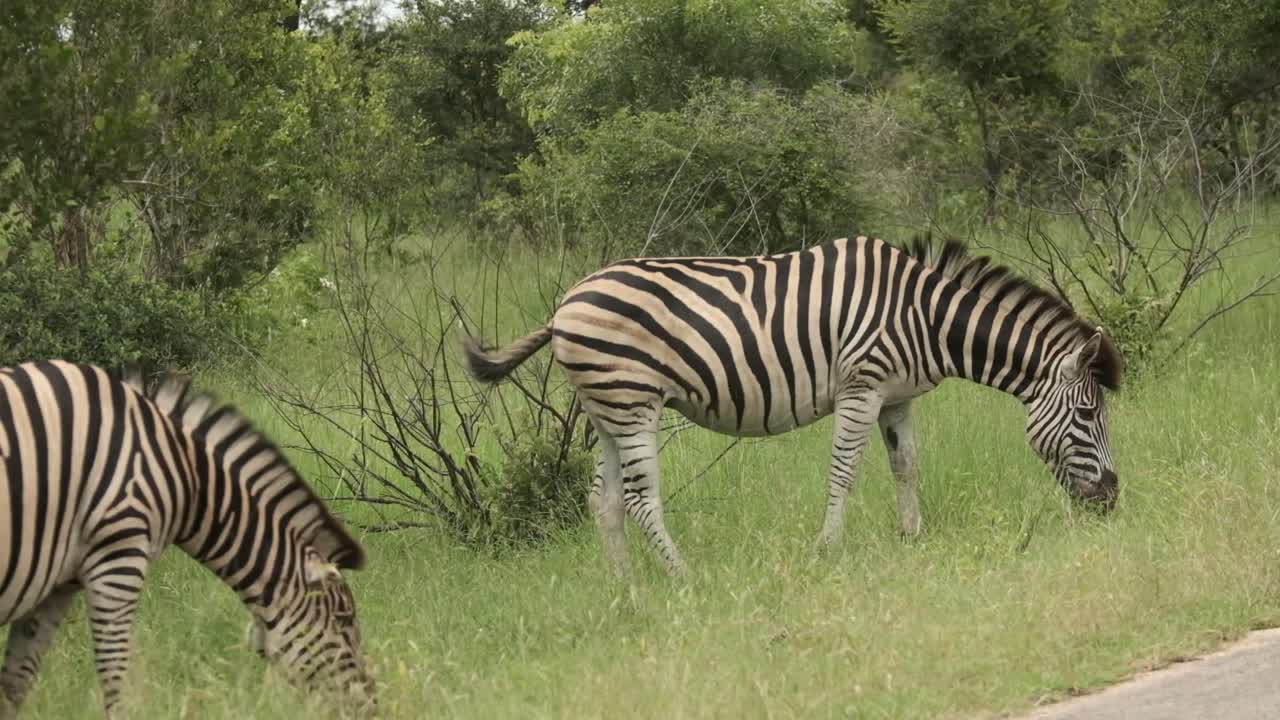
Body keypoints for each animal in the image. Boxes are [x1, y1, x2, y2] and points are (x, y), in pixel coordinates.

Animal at [0, 361, 373, 718]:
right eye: (344, 619)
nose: (371, 702)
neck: (187, 475)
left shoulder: (57, 585)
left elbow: (15, 684)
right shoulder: (119, 559)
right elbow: (114, 675)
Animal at [463, 236, 1123, 577]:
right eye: (1088, 417)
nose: (1113, 500)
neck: (925, 316)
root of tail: (563, 306)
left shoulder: (897, 398)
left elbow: (905, 465)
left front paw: (912, 536)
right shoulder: (862, 386)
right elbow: (845, 471)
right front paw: (827, 551)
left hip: (604, 412)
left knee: (602, 502)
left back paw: (630, 592)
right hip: (633, 404)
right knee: (637, 498)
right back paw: (683, 580)